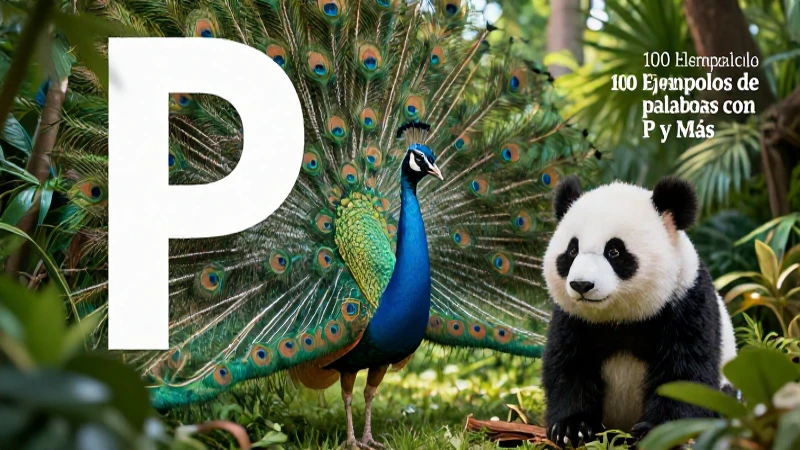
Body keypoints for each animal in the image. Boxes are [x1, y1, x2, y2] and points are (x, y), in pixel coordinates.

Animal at [541, 176, 737, 448]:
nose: (581, 285)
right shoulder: (573, 318)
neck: (621, 318)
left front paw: (655, 431)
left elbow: (683, 374)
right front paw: (572, 428)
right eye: (571, 251)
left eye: (614, 251)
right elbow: (568, 366)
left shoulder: (686, 303)